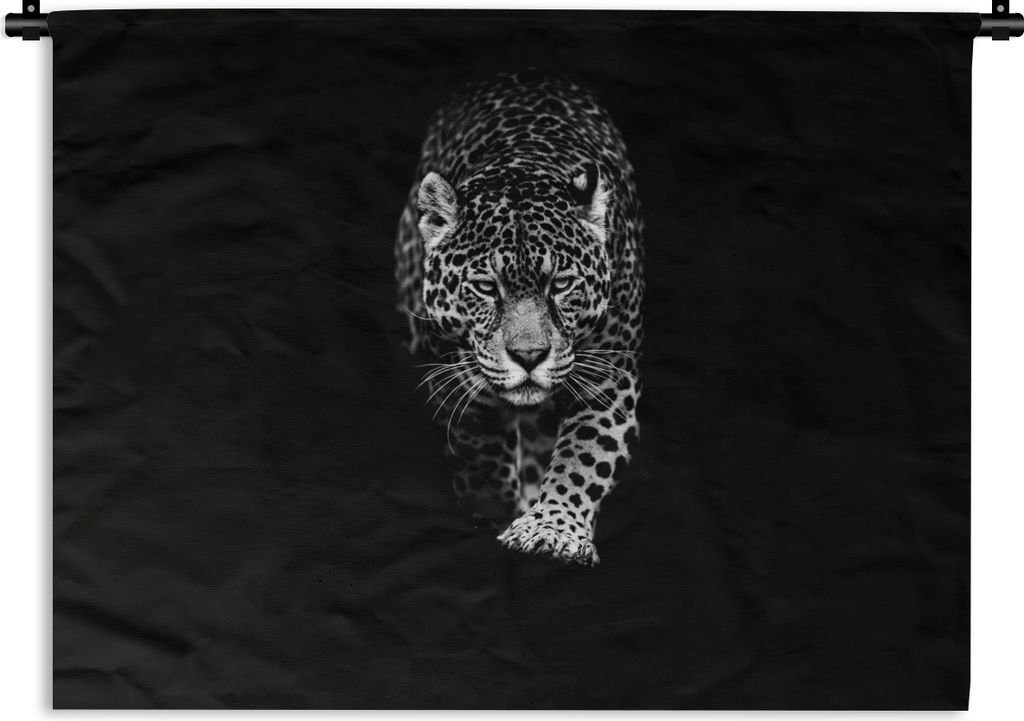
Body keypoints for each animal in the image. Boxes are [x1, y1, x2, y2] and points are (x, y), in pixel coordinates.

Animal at [394, 70, 644, 566]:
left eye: (561, 284)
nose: (529, 357)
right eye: (486, 287)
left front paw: (553, 529)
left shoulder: (609, 379)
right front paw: (491, 510)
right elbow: (480, 452)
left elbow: (584, 455)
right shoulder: (456, 378)